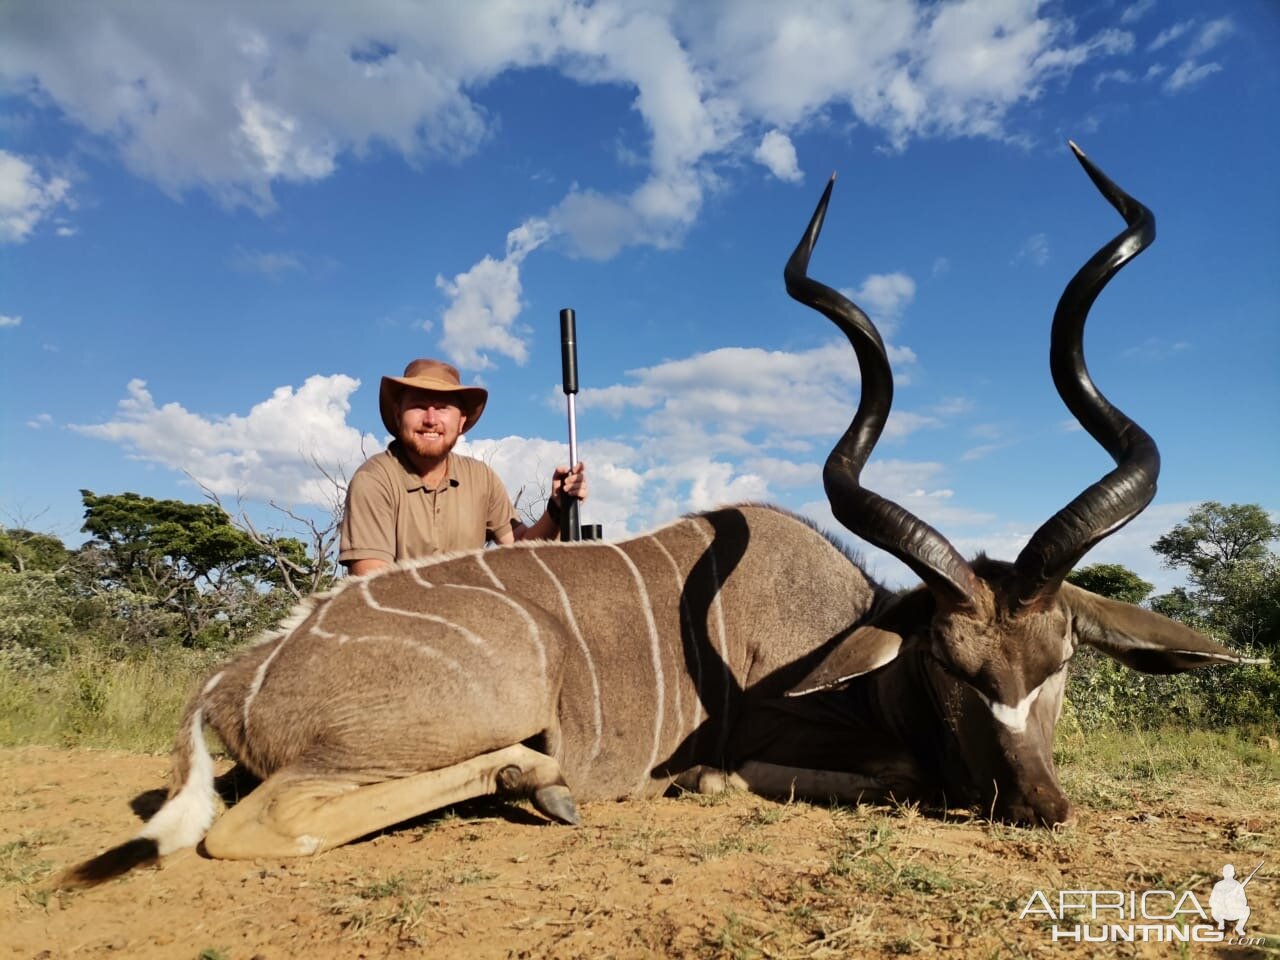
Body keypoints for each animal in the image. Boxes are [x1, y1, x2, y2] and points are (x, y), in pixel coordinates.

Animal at [64, 142, 1254, 885]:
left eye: (1062, 662)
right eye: (949, 668)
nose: (1038, 807)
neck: (849, 641)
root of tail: (235, 676)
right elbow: (870, 774)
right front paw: (694, 776)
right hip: (483, 698)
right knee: (252, 828)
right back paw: (537, 781)